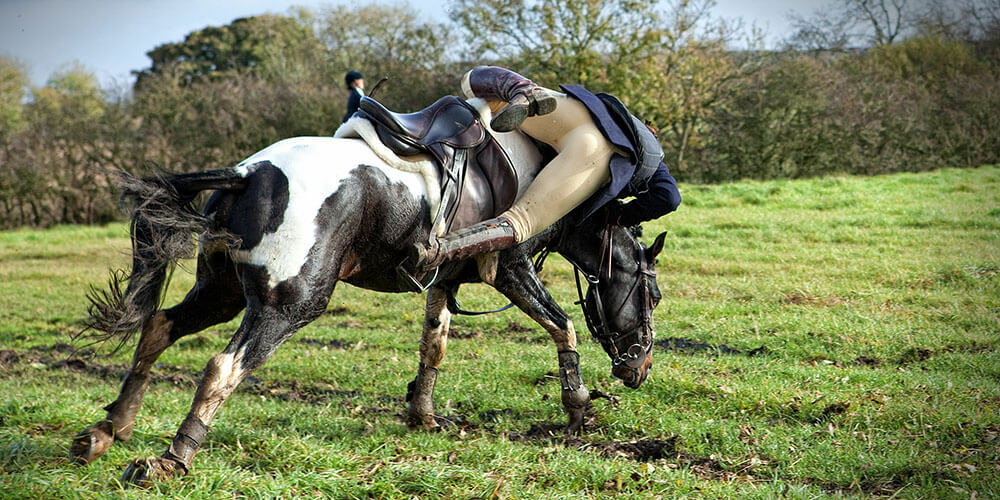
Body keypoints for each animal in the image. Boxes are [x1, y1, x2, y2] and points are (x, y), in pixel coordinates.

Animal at [70, 102, 664, 484]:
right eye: (653, 296)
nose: (639, 369)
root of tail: (249, 172)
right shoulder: (511, 269)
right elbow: (562, 323)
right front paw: (578, 407)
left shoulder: (442, 282)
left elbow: (433, 347)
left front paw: (422, 416)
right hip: (290, 304)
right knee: (222, 366)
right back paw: (172, 461)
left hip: (222, 292)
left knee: (158, 326)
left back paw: (110, 428)